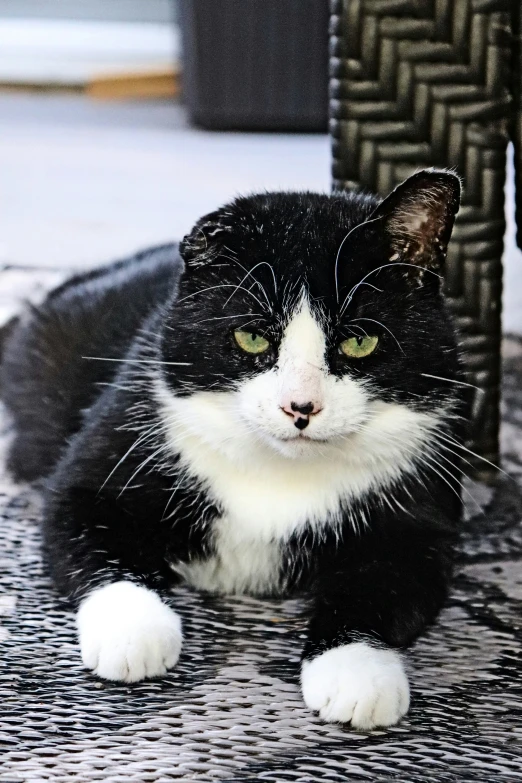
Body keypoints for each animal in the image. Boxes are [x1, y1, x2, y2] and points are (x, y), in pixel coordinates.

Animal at [1, 168, 464, 732]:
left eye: (360, 342)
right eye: (251, 337)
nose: (300, 406)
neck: (278, 474)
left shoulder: (422, 515)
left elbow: (383, 587)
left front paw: (357, 673)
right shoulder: (108, 452)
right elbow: (85, 530)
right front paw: (135, 633)